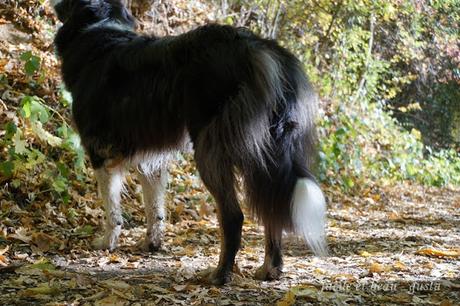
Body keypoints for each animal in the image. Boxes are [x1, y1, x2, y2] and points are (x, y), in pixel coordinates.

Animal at [52, 0, 328, 284]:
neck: (100, 27)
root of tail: (261, 48)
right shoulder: (149, 159)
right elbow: (154, 208)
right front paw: (151, 243)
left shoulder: (100, 152)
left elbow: (111, 209)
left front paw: (107, 242)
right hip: (267, 152)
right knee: (270, 209)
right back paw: (269, 269)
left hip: (210, 149)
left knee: (234, 216)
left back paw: (220, 274)